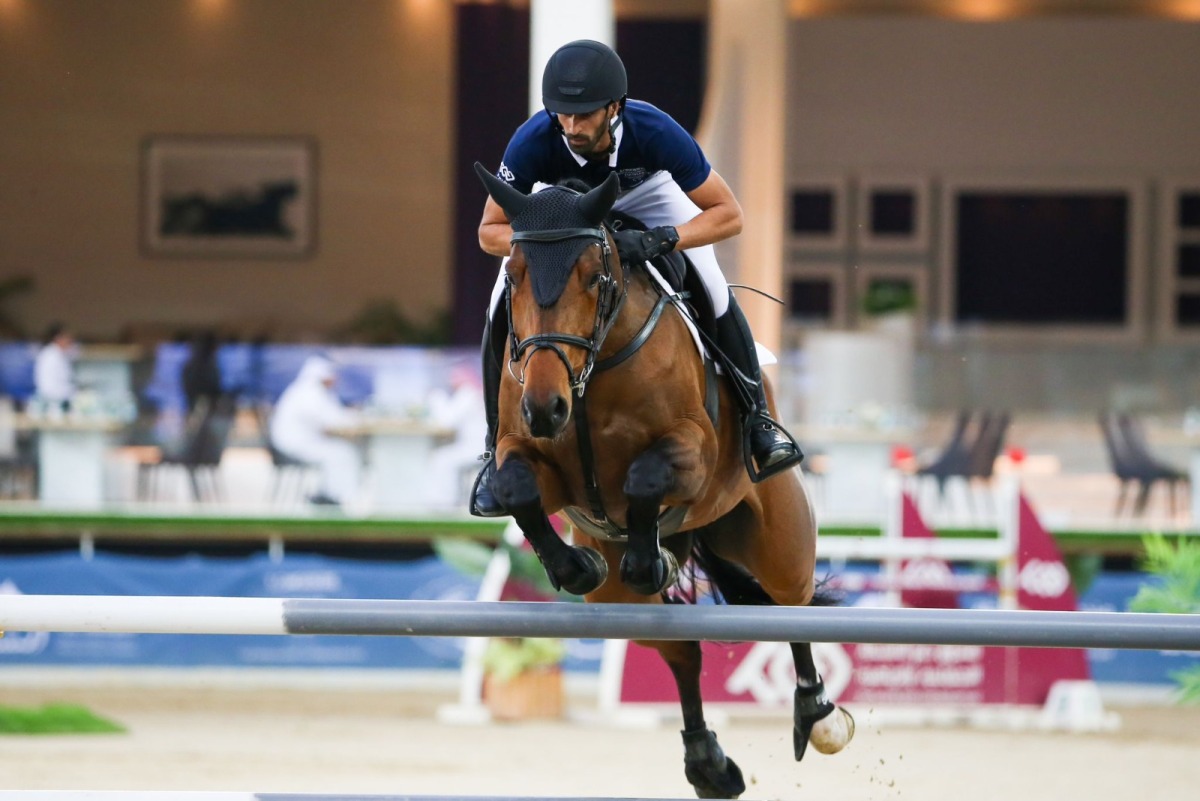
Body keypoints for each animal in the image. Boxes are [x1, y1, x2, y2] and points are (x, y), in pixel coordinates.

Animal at [472, 164, 859, 801]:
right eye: (516, 274)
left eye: (594, 275)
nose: (546, 407)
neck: (591, 372)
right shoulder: (530, 456)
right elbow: (515, 489)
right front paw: (578, 566)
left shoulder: (693, 453)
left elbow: (646, 476)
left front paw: (647, 555)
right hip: (619, 601)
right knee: (681, 650)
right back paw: (708, 763)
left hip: (777, 540)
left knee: (791, 605)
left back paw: (816, 715)